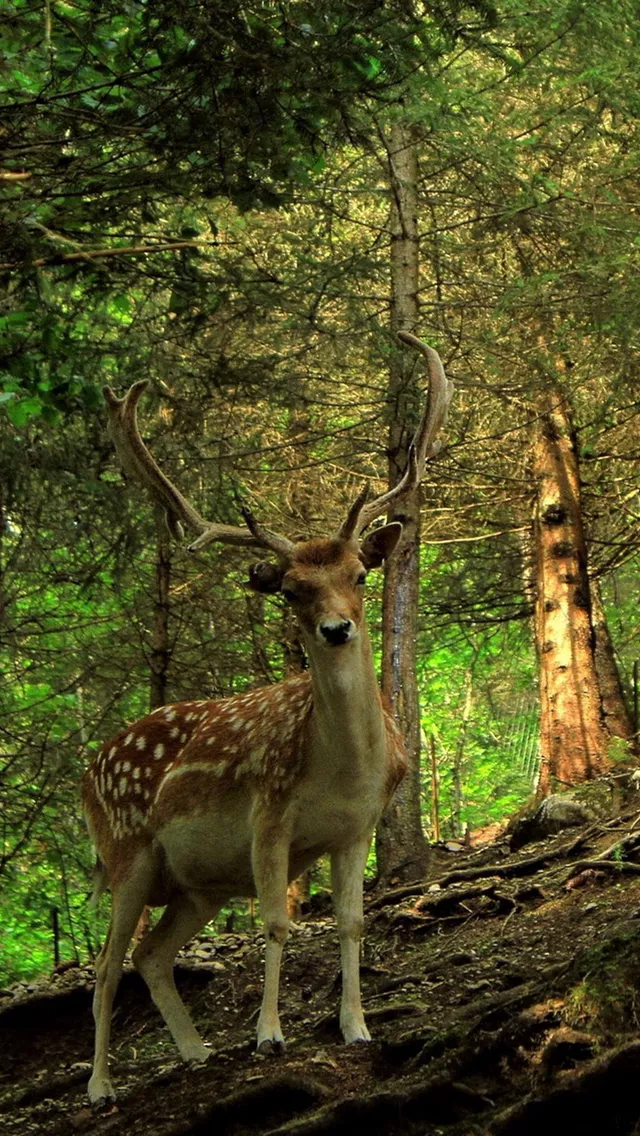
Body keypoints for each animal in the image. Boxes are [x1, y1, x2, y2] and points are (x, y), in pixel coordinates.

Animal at [84, 331, 454, 1108]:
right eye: (290, 590)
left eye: (361, 574)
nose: (338, 629)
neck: (342, 771)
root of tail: (87, 768)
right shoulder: (268, 813)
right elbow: (279, 923)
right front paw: (269, 1035)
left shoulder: (357, 828)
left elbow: (351, 920)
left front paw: (356, 1027)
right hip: (126, 850)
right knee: (105, 965)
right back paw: (101, 1086)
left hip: (195, 884)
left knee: (150, 955)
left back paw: (195, 1052)